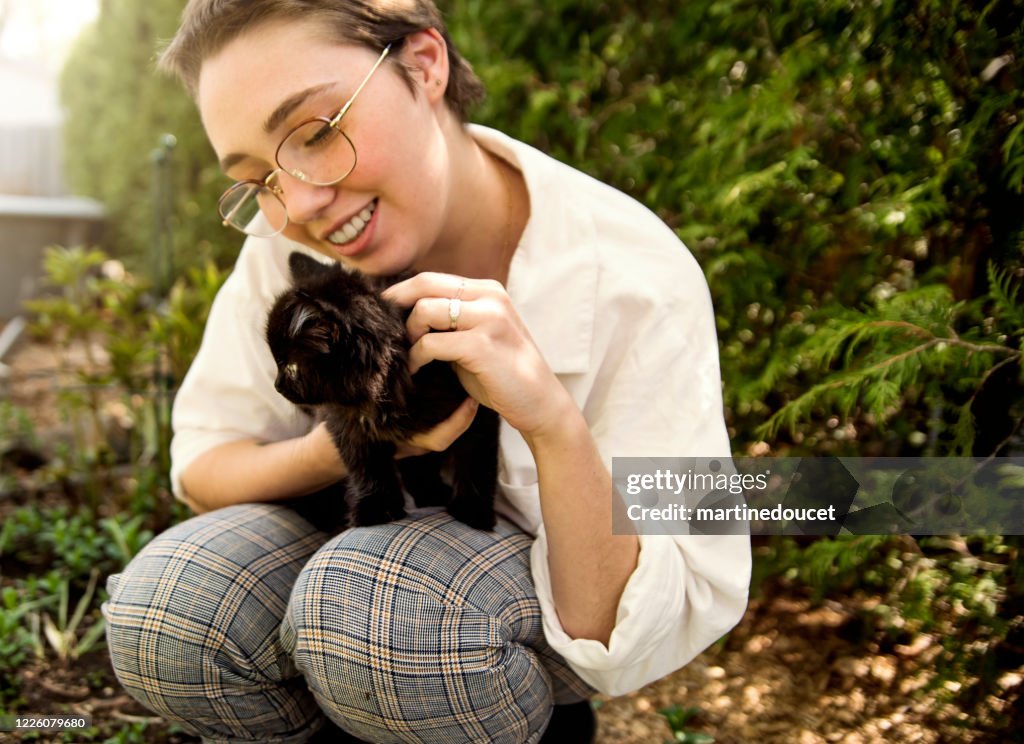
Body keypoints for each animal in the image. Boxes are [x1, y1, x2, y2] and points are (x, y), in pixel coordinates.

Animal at [266, 252, 497, 532]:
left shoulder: (479, 409)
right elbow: (368, 468)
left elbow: (476, 463)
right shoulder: (348, 425)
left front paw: (474, 511)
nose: (277, 386)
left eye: (290, 367)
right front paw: (376, 509)